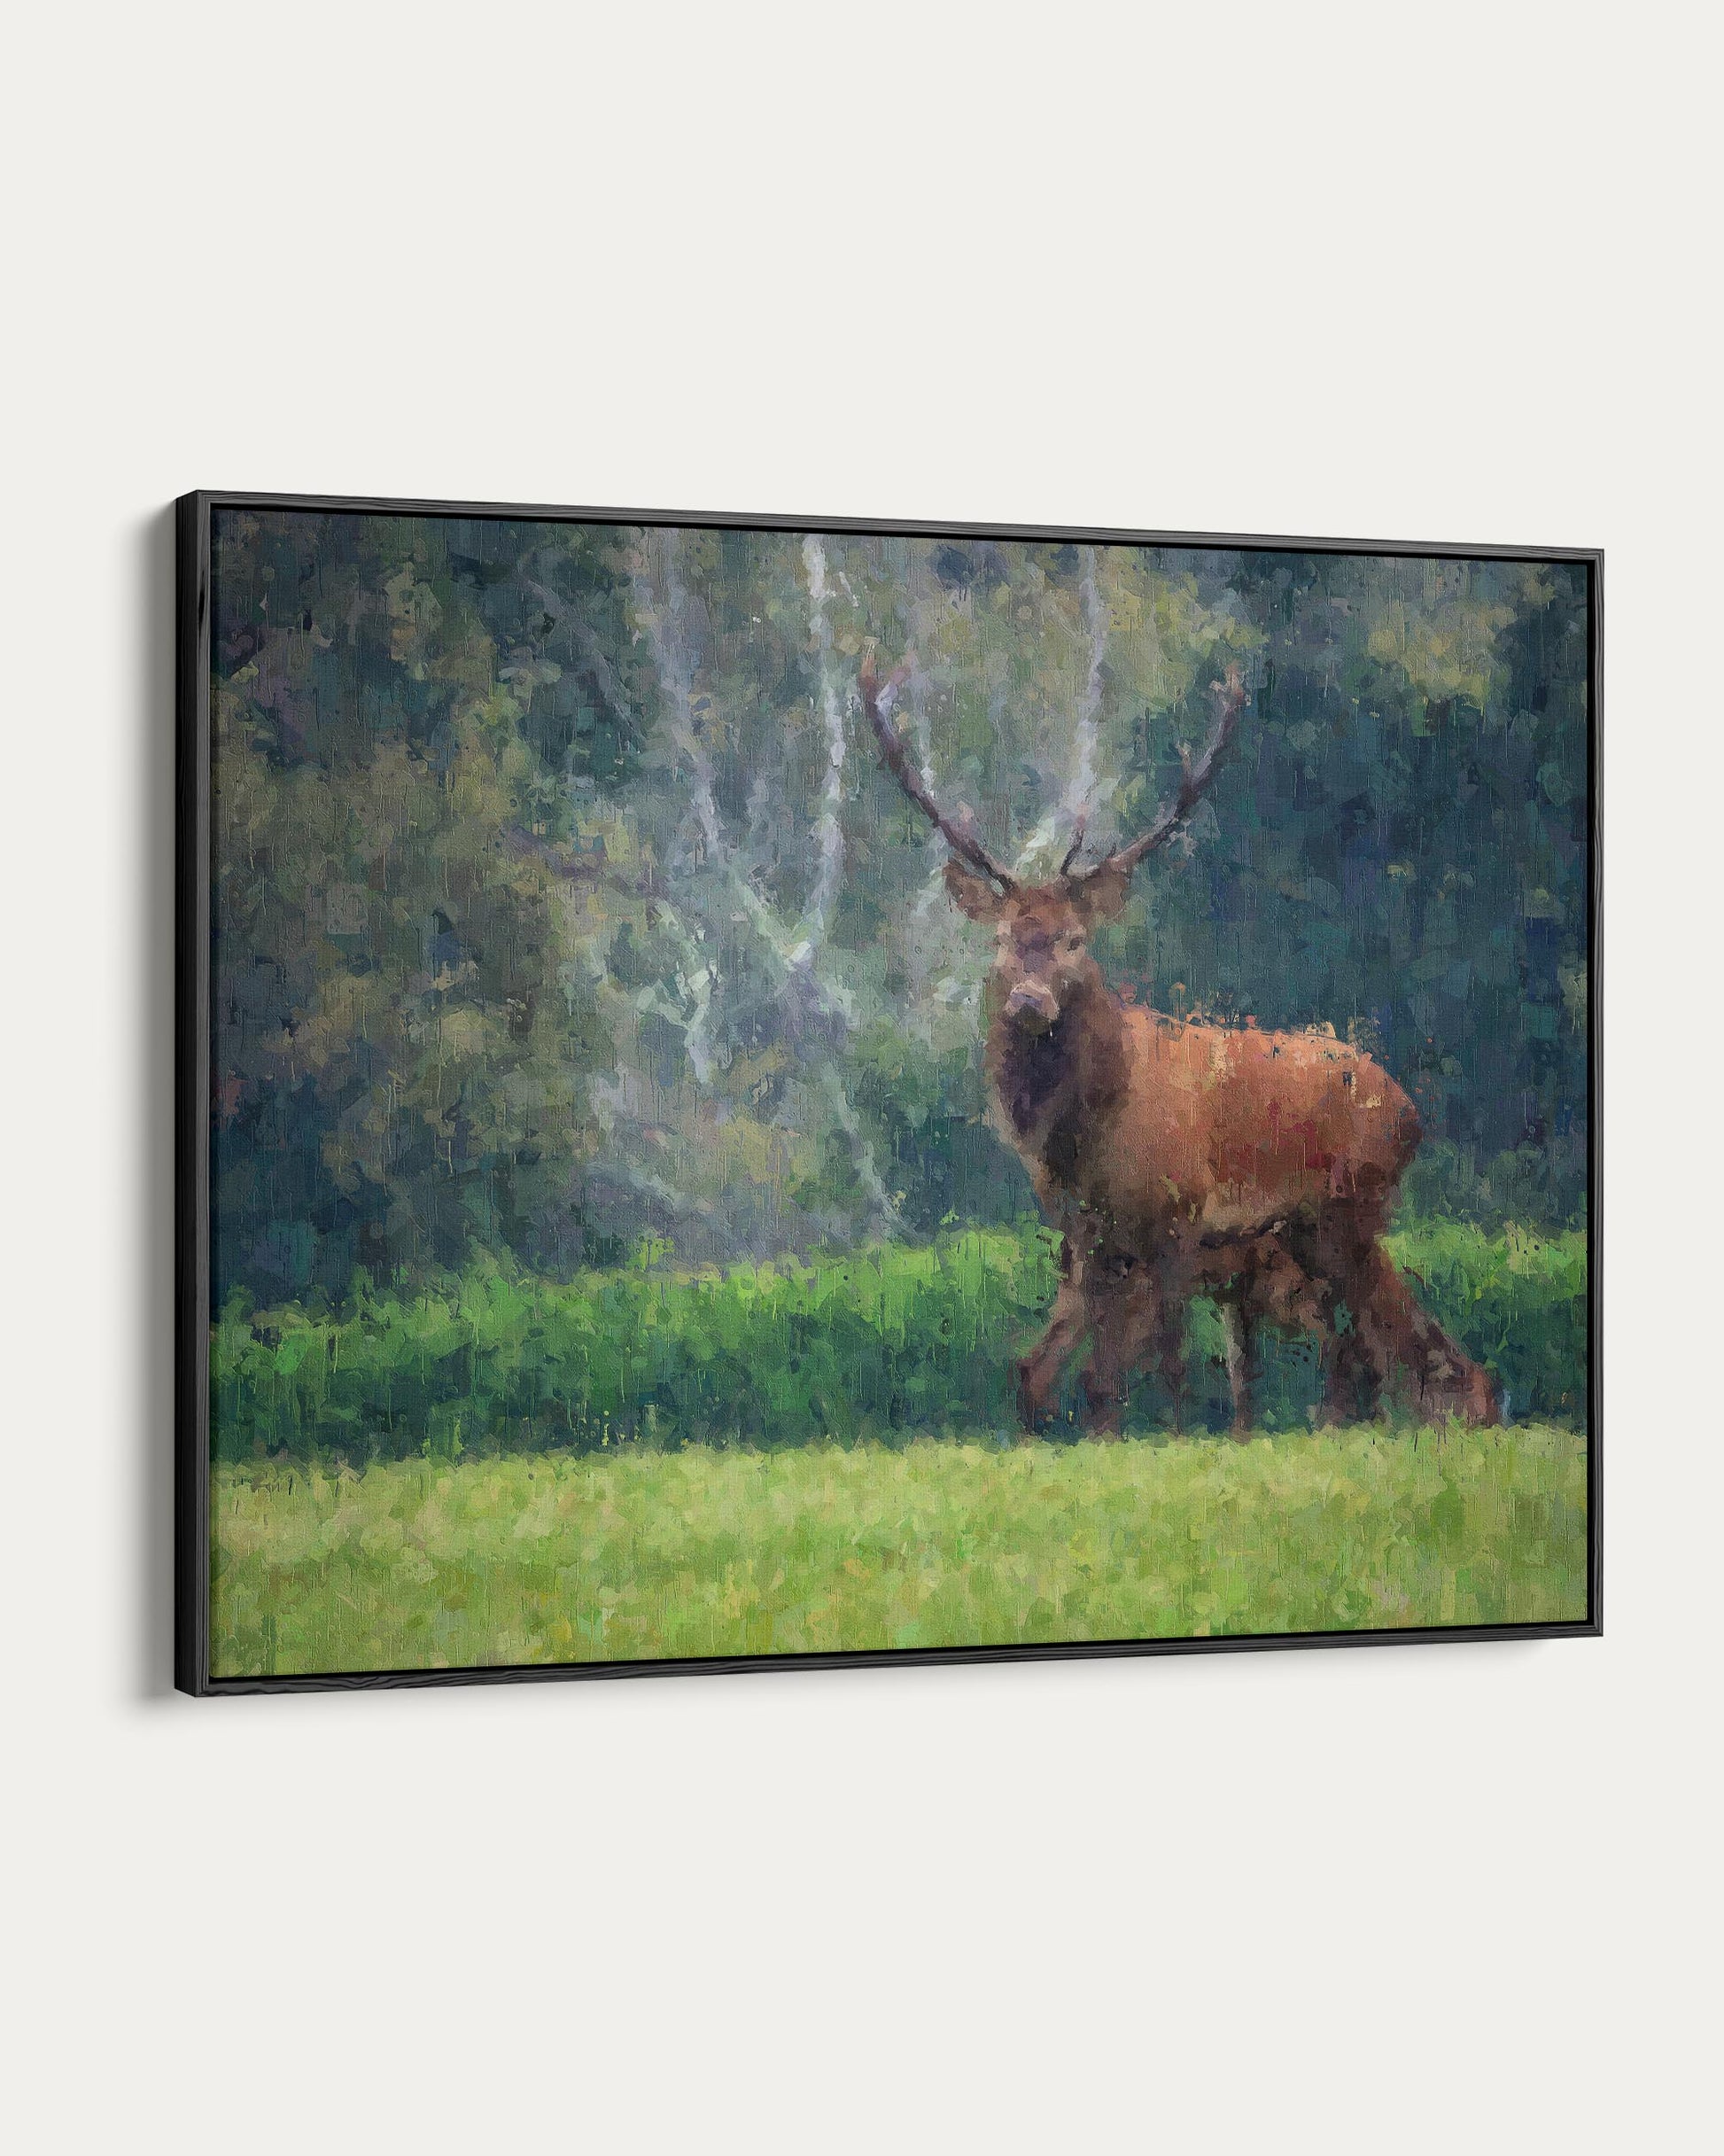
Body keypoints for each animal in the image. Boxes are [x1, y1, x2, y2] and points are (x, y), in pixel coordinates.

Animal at [860, 653, 1499, 1439]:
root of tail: (1413, 1110)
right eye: (1004, 938)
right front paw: (1101, 1439)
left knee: (1400, 1347)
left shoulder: (1178, 1219)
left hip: (1348, 1209)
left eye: (1075, 939)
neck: (1087, 1133)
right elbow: (1085, 1377)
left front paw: (1175, 1438)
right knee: (1383, 1348)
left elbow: (1167, 1366)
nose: (1029, 1003)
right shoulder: (1087, 1235)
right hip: (1312, 1234)